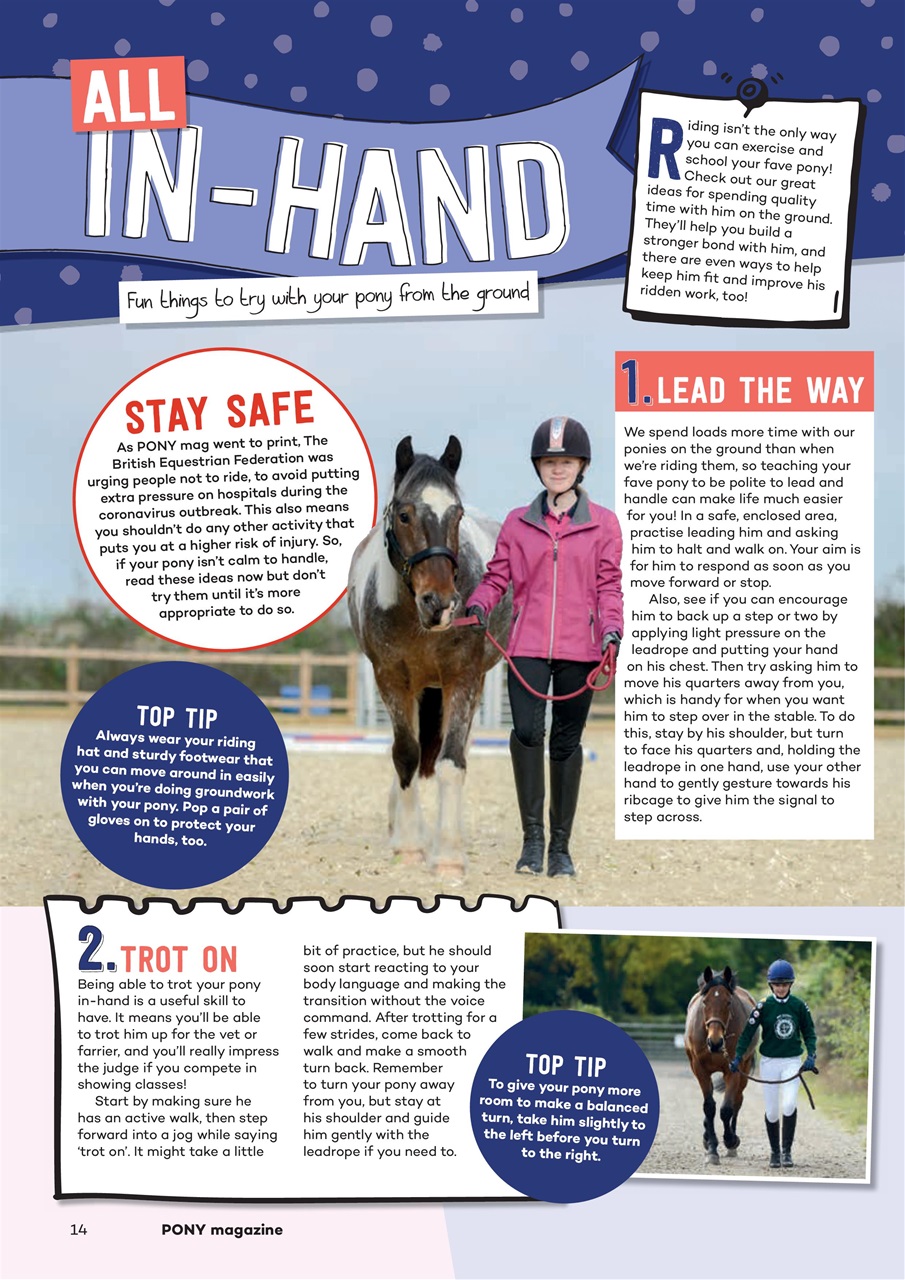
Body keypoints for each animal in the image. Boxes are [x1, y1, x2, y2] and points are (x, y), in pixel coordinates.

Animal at [347, 435, 511, 876]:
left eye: (456, 515)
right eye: (404, 515)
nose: (441, 604)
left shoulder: (463, 678)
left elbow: (451, 761)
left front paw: (449, 856)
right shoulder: (391, 679)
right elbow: (406, 755)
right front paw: (408, 847)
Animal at [684, 965, 756, 1164]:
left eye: (728, 1002)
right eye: (705, 1002)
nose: (715, 1042)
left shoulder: (733, 1070)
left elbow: (726, 1109)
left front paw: (730, 1140)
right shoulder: (699, 1069)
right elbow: (709, 1107)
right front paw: (711, 1149)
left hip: (744, 1070)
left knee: (737, 1101)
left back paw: (732, 1142)